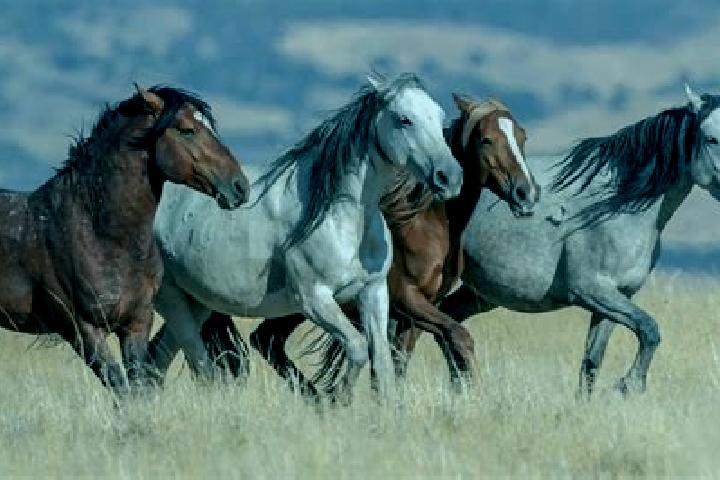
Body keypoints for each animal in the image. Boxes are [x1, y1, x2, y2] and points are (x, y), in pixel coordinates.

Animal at [0, 85, 248, 396]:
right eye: (187, 130)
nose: (240, 186)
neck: (99, 236)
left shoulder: (137, 323)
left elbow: (138, 387)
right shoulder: (83, 330)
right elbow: (121, 389)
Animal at [146, 73, 463, 400]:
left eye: (440, 118)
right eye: (404, 119)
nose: (449, 177)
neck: (342, 220)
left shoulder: (373, 292)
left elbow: (383, 365)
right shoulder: (314, 299)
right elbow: (358, 348)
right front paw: (337, 400)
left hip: (198, 302)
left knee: (158, 357)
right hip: (172, 299)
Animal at [210, 95, 539, 397]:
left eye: (522, 136)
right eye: (486, 140)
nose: (525, 194)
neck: (424, 224)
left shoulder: (418, 310)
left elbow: (400, 359)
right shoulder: (406, 298)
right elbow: (458, 336)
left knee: (266, 341)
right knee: (259, 342)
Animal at [397, 84, 720, 396]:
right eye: (711, 138)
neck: (616, 206)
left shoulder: (615, 299)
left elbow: (592, 363)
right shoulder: (592, 291)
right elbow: (650, 329)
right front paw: (629, 384)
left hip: (479, 294)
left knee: (446, 325)